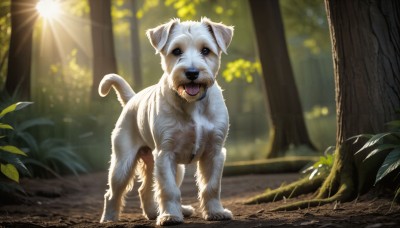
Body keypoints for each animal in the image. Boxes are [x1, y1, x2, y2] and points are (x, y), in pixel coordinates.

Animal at [98, 16, 233, 225]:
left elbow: (211, 186)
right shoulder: (165, 154)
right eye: (176, 51)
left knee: (145, 189)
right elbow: (169, 190)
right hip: (123, 163)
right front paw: (170, 216)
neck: (192, 104)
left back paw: (160, 212)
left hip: (172, 167)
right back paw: (109, 218)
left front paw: (216, 212)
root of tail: (132, 99)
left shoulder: (215, 151)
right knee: (113, 193)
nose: (192, 72)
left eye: (205, 50)